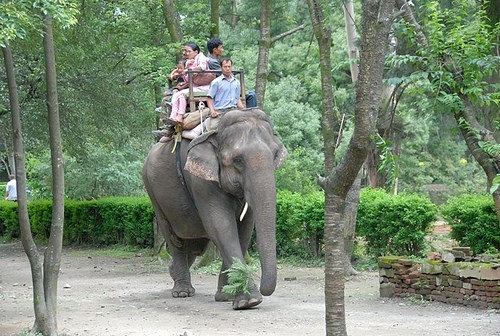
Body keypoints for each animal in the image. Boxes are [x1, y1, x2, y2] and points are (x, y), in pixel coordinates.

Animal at [143, 108, 288, 310]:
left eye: (275, 155)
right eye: (238, 160)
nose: (264, 289)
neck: (216, 132)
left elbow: (244, 230)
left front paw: (226, 296)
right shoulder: (199, 179)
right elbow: (221, 226)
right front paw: (249, 301)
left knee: (194, 245)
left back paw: (173, 272)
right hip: (152, 190)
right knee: (173, 238)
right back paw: (182, 292)